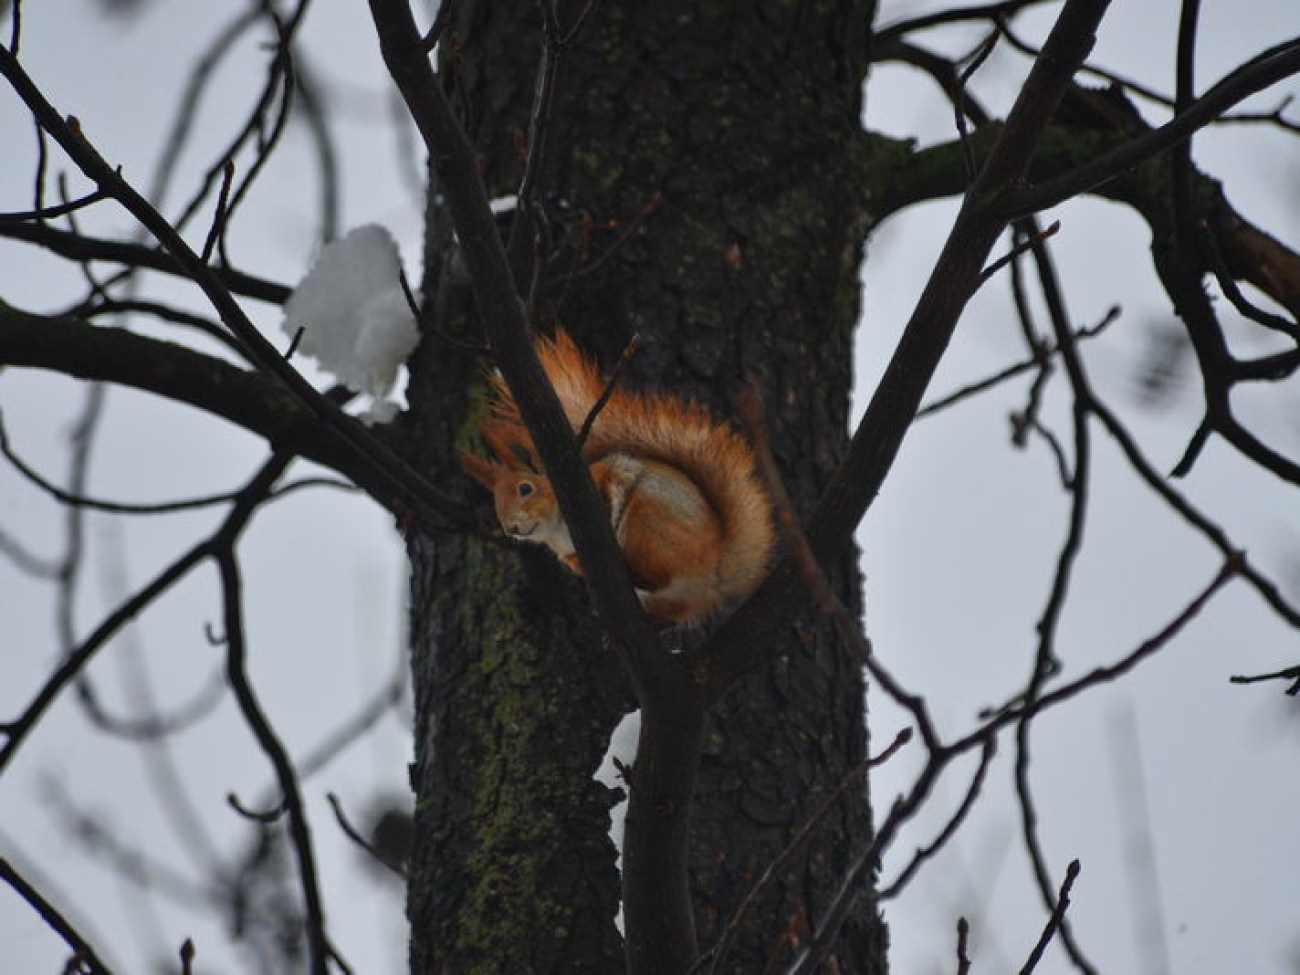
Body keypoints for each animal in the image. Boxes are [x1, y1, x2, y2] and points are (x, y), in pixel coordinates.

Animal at [462, 332, 774, 629]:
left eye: (525, 488)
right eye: (496, 505)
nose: (511, 528)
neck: (555, 530)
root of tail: (714, 567)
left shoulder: (603, 476)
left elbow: (611, 483)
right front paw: (576, 565)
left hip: (647, 523)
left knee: (658, 575)